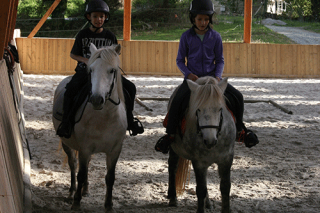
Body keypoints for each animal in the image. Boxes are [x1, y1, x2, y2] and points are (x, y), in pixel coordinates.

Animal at [52, 43, 126, 213]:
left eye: (111, 70)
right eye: (90, 70)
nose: (97, 99)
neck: (104, 119)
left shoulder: (114, 150)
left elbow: (110, 177)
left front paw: (108, 205)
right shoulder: (84, 149)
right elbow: (80, 173)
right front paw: (76, 203)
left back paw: (85, 189)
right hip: (66, 143)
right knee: (73, 165)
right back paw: (72, 191)